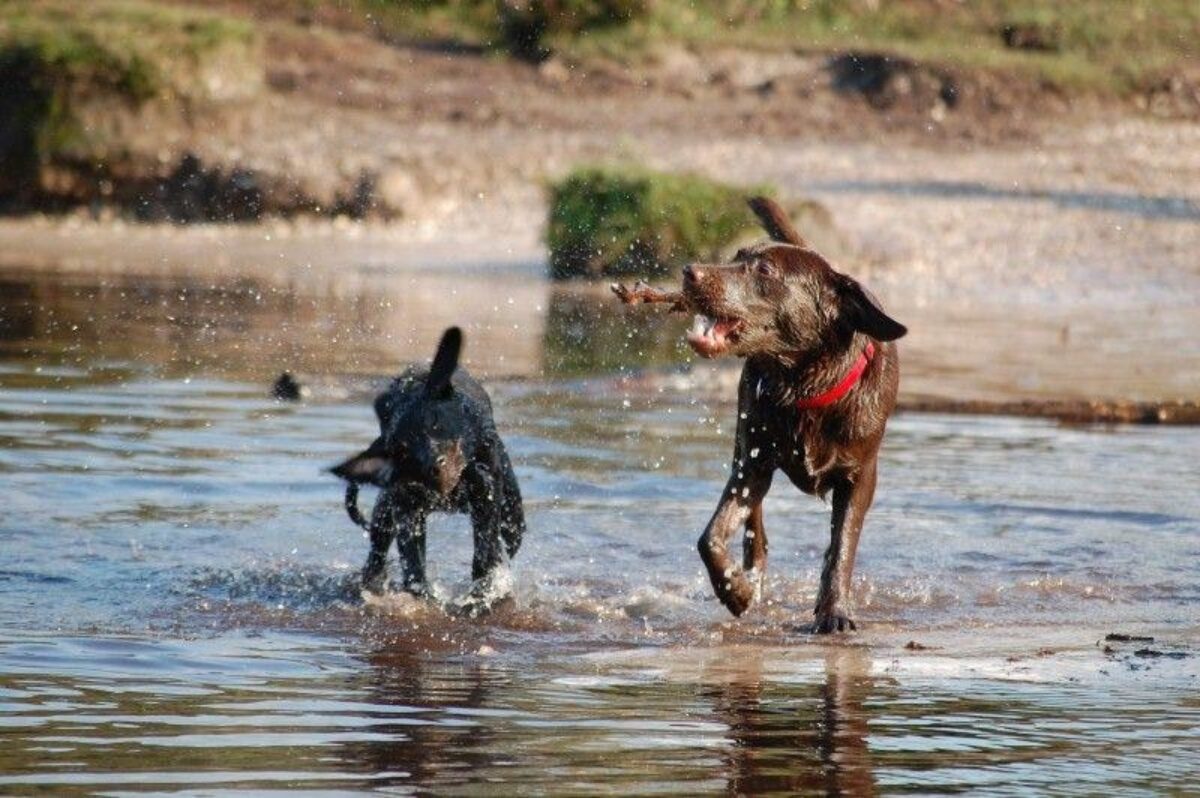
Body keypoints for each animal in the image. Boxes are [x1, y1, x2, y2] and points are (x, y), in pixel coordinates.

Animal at [336, 326, 528, 612]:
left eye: (434, 422)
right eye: (401, 449)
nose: (431, 467)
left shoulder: (486, 493)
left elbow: (485, 550)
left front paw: (480, 596)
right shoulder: (406, 508)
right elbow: (413, 560)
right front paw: (424, 598)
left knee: (512, 528)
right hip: (385, 512)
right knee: (377, 553)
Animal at [614, 195, 902, 633]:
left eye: (764, 270)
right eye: (736, 257)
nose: (689, 272)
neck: (804, 386)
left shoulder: (860, 476)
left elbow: (842, 547)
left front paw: (834, 611)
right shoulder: (753, 465)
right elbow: (711, 537)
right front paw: (736, 590)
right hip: (745, 445)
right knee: (755, 528)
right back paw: (753, 577)